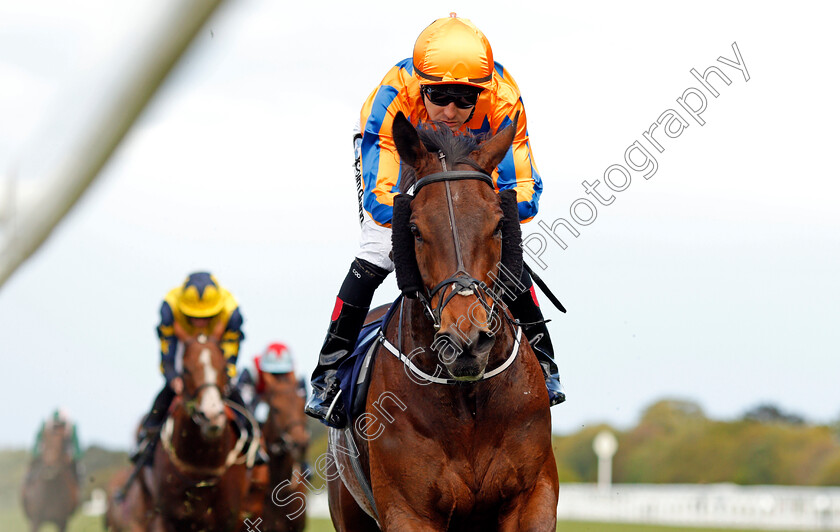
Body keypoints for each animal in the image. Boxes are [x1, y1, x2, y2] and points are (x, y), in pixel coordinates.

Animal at [106, 326, 254, 528]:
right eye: (185, 369)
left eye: (224, 367)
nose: (211, 415)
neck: (201, 465)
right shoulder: (169, 518)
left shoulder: (230, 518)